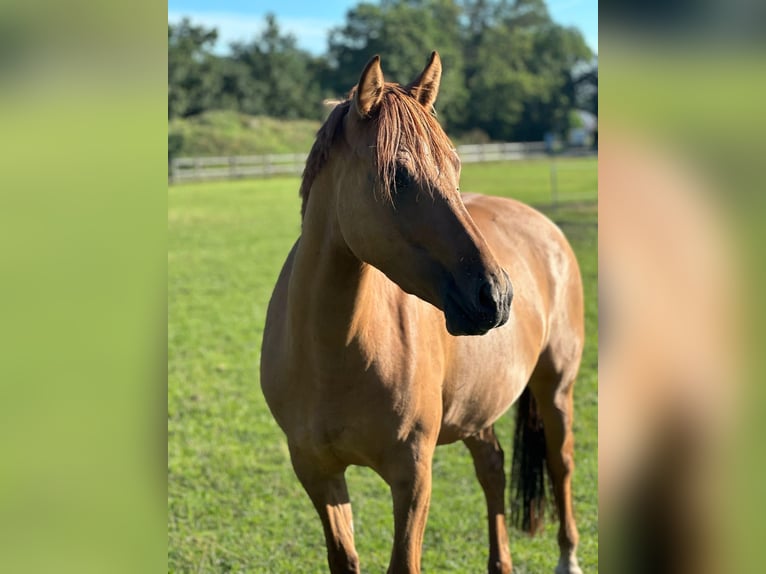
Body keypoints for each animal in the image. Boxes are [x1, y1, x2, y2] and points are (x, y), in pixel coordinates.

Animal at [260, 51, 584, 572]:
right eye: (398, 175)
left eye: (455, 167)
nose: (496, 296)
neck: (331, 355)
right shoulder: (317, 472)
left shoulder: (412, 476)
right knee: (492, 468)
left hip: (556, 386)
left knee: (562, 462)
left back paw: (569, 557)